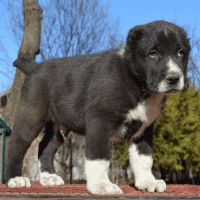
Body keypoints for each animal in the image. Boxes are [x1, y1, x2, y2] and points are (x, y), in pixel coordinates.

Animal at [5, 21, 191, 195]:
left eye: (181, 53)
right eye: (153, 54)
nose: (174, 78)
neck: (137, 84)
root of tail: (35, 68)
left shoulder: (143, 129)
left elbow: (144, 158)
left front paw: (147, 182)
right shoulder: (100, 122)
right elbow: (99, 157)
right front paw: (101, 186)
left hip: (59, 125)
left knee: (46, 146)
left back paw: (48, 177)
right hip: (31, 117)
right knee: (16, 145)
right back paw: (15, 179)